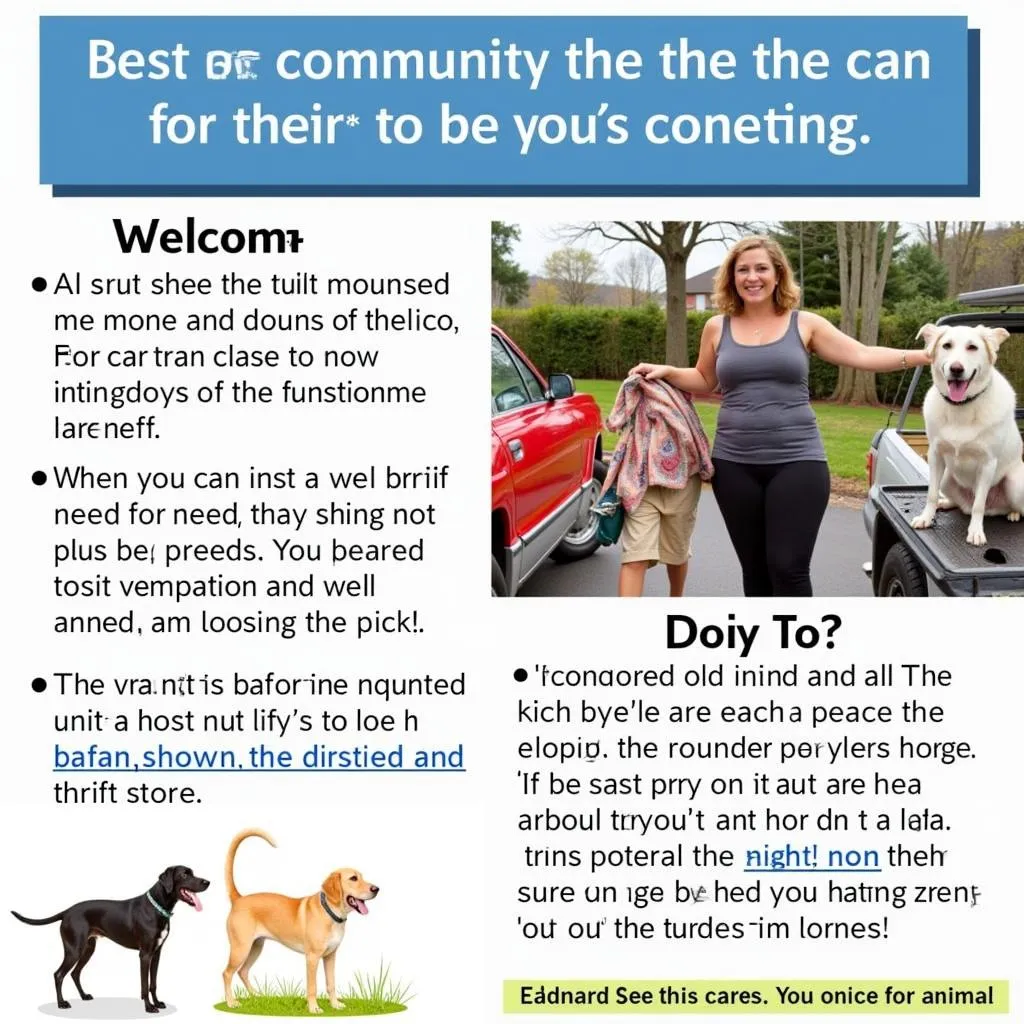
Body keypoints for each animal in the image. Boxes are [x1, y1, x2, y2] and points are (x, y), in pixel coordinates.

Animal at [913, 323, 1024, 548]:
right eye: (947, 345)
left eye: (972, 347)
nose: (956, 369)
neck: (961, 408)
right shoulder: (935, 455)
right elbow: (930, 494)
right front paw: (926, 517)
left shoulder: (988, 463)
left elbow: (978, 505)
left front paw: (975, 531)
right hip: (947, 478)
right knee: (960, 504)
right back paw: (946, 503)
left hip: (1016, 484)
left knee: (1005, 506)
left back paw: (1014, 513)